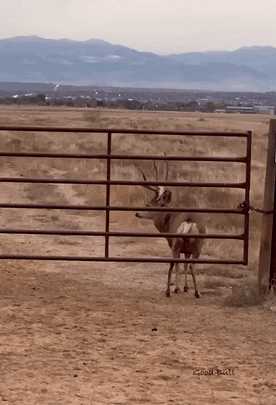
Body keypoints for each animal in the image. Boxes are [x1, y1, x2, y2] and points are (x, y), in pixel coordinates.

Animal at [135, 159, 206, 296]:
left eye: (148, 204)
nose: (137, 213)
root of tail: (188, 222)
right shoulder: (187, 250)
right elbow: (185, 265)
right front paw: (186, 287)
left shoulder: (173, 244)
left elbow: (179, 265)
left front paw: (179, 288)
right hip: (198, 246)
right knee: (191, 265)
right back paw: (197, 292)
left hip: (176, 244)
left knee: (176, 263)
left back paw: (174, 289)